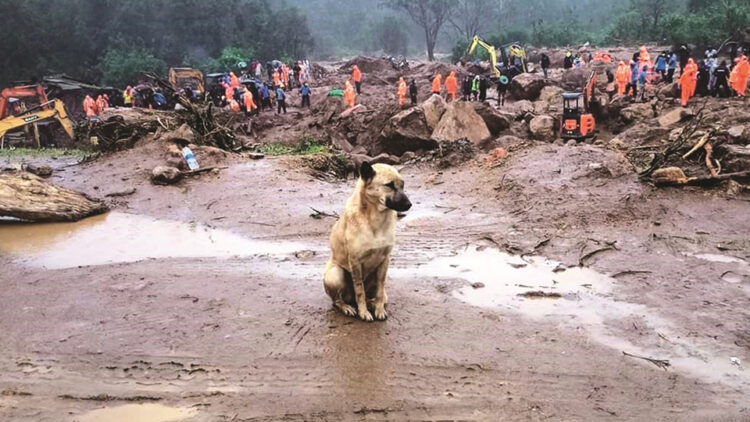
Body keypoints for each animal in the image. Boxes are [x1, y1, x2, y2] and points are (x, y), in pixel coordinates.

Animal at [324, 162, 414, 320]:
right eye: (389, 185)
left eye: (402, 185)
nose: (409, 204)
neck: (375, 219)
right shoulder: (355, 261)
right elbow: (359, 290)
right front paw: (363, 312)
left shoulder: (385, 260)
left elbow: (380, 288)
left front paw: (379, 309)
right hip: (335, 274)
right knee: (338, 301)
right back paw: (348, 307)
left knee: (377, 295)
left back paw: (373, 303)